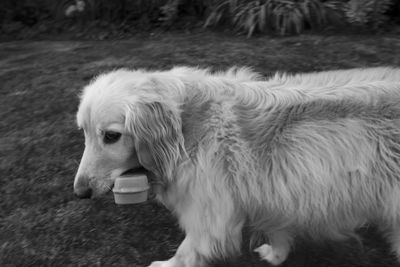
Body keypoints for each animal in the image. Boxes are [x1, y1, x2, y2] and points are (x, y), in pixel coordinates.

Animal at [73, 66, 400, 266]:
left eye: (111, 136)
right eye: (84, 132)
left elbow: (184, 253)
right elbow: (278, 231)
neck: (186, 127)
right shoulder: (275, 197)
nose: (80, 192)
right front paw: (276, 254)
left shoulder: (210, 220)